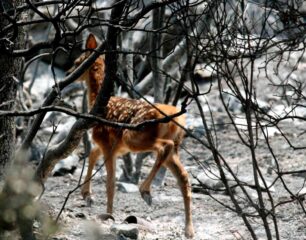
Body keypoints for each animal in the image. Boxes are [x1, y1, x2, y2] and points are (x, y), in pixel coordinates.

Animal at [69, 33, 195, 238]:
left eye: (77, 62)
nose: (68, 73)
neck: (98, 102)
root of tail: (177, 118)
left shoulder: (107, 142)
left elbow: (110, 182)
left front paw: (108, 213)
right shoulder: (115, 146)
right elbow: (93, 155)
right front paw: (87, 196)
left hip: (135, 135)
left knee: (164, 146)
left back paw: (145, 191)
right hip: (170, 147)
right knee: (183, 176)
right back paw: (189, 229)